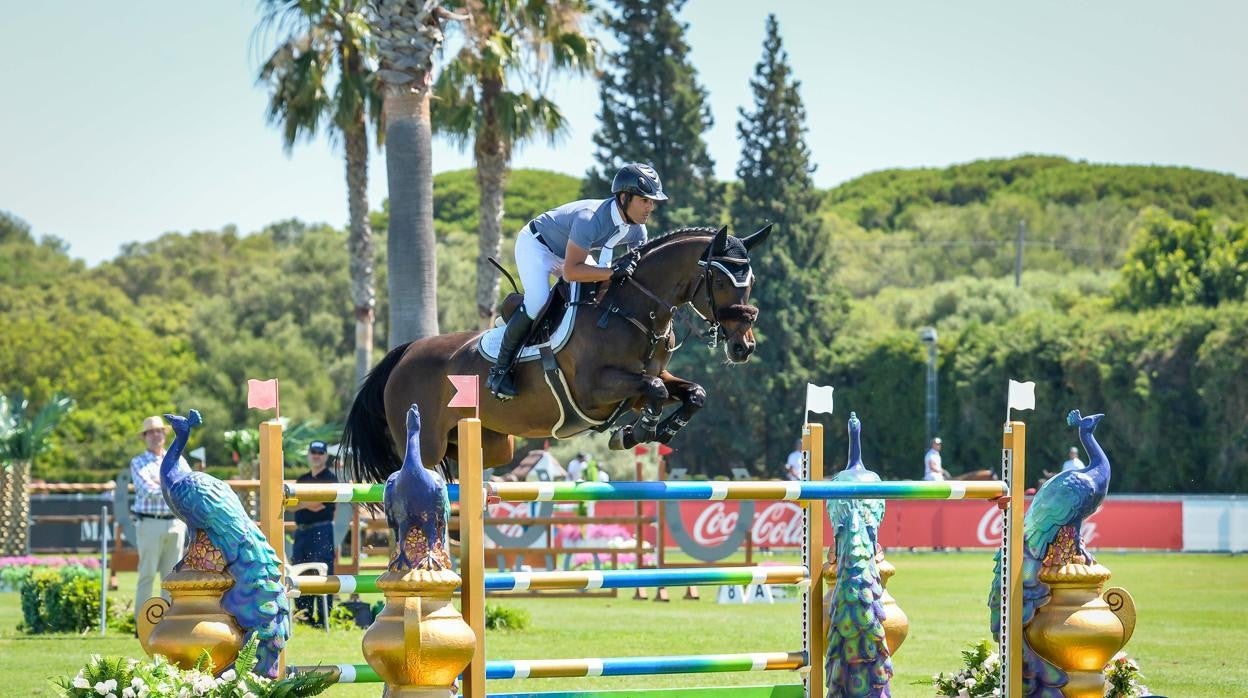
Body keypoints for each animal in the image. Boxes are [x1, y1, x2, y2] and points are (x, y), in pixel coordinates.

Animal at [344, 224, 768, 486]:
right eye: (720, 281)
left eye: (750, 280)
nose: (742, 346)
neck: (629, 310)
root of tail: (405, 353)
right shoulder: (595, 390)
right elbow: (657, 391)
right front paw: (638, 432)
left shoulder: (643, 383)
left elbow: (691, 393)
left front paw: (646, 432)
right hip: (426, 443)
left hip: (491, 444)